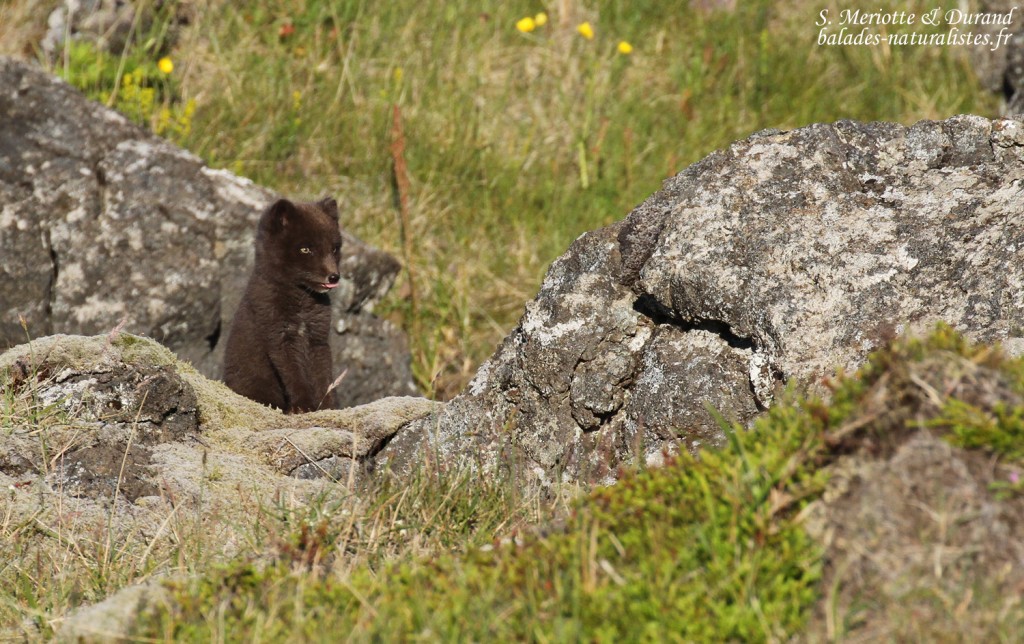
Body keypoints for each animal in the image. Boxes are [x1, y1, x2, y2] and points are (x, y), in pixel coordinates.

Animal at [223, 197, 342, 413]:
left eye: (334, 248)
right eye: (306, 249)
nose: (334, 276)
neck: (303, 304)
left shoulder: (318, 339)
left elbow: (323, 378)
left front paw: (328, 407)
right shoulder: (280, 336)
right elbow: (295, 376)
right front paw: (303, 407)